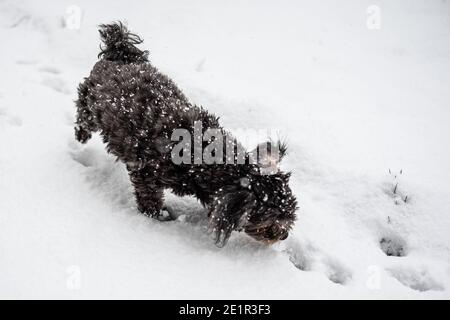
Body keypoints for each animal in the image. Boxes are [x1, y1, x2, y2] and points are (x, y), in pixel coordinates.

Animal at [75, 22, 298, 246]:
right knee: (83, 117)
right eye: (273, 218)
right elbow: (149, 198)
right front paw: (157, 216)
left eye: (291, 214)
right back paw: (81, 136)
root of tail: (120, 54)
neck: (205, 156)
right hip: (89, 105)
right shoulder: (145, 172)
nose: (284, 235)